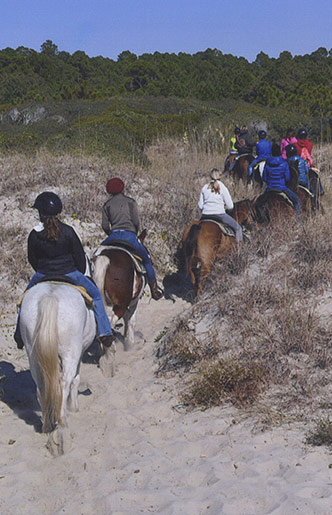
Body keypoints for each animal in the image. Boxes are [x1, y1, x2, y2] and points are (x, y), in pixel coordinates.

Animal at [19, 282, 95, 456]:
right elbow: (76, 380)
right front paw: (74, 407)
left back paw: (46, 425)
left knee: (41, 387)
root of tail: (50, 296)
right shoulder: (79, 353)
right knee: (64, 384)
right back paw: (62, 422)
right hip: (70, 353)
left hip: (33, 354)